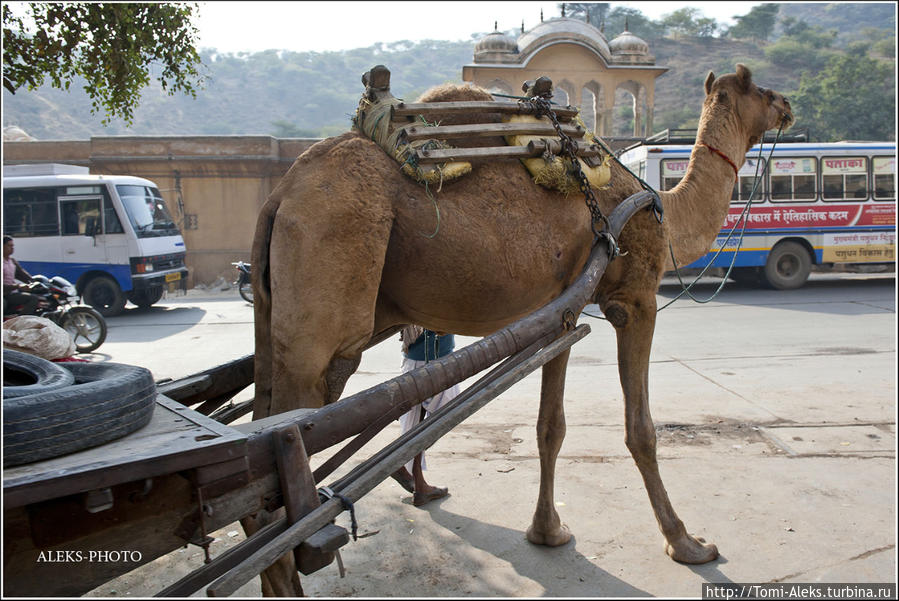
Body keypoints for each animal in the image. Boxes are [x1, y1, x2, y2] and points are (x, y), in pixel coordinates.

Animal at [248, 64, 796, 592]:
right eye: (761, 90)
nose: (789, 105)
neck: (660, 206)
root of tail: (280, 195)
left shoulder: (562, 308)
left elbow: (550, 427)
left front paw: (548, 532)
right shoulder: (635, 299)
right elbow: (641, 429)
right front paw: (687, 544)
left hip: (277, 315)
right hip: (327, 280)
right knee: (280, 481)